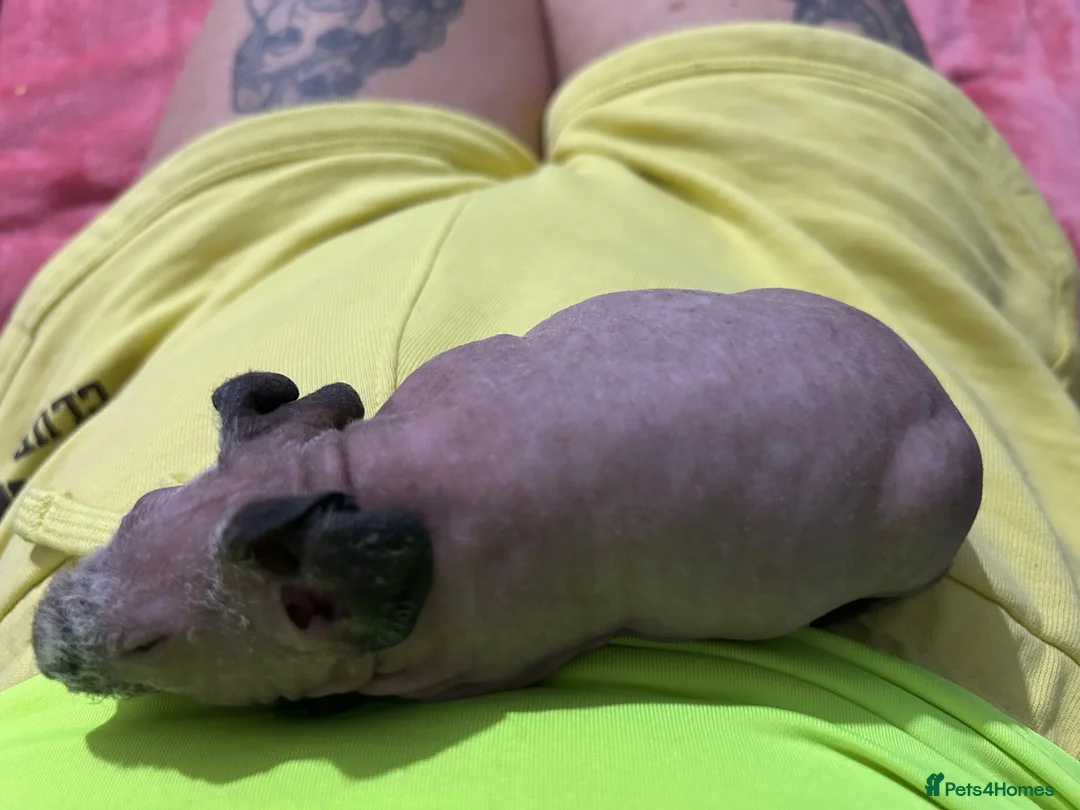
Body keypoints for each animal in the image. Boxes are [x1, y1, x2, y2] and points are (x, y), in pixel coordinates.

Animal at [31, 287, 983, 707]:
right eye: (137, 513)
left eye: (148, 645)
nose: (41, 639)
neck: (357, 484)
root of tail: (947, 405)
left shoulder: (487, 658)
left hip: (918, 517)